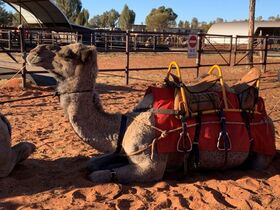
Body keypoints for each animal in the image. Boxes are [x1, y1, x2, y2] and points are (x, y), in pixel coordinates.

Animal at [26, 43, 276, 184]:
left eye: (68, 54)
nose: (34, 52)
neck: (125, 124)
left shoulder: (150, 166)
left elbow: (99, 175)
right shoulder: (124, 150)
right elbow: (92, 164)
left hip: (260, 155)